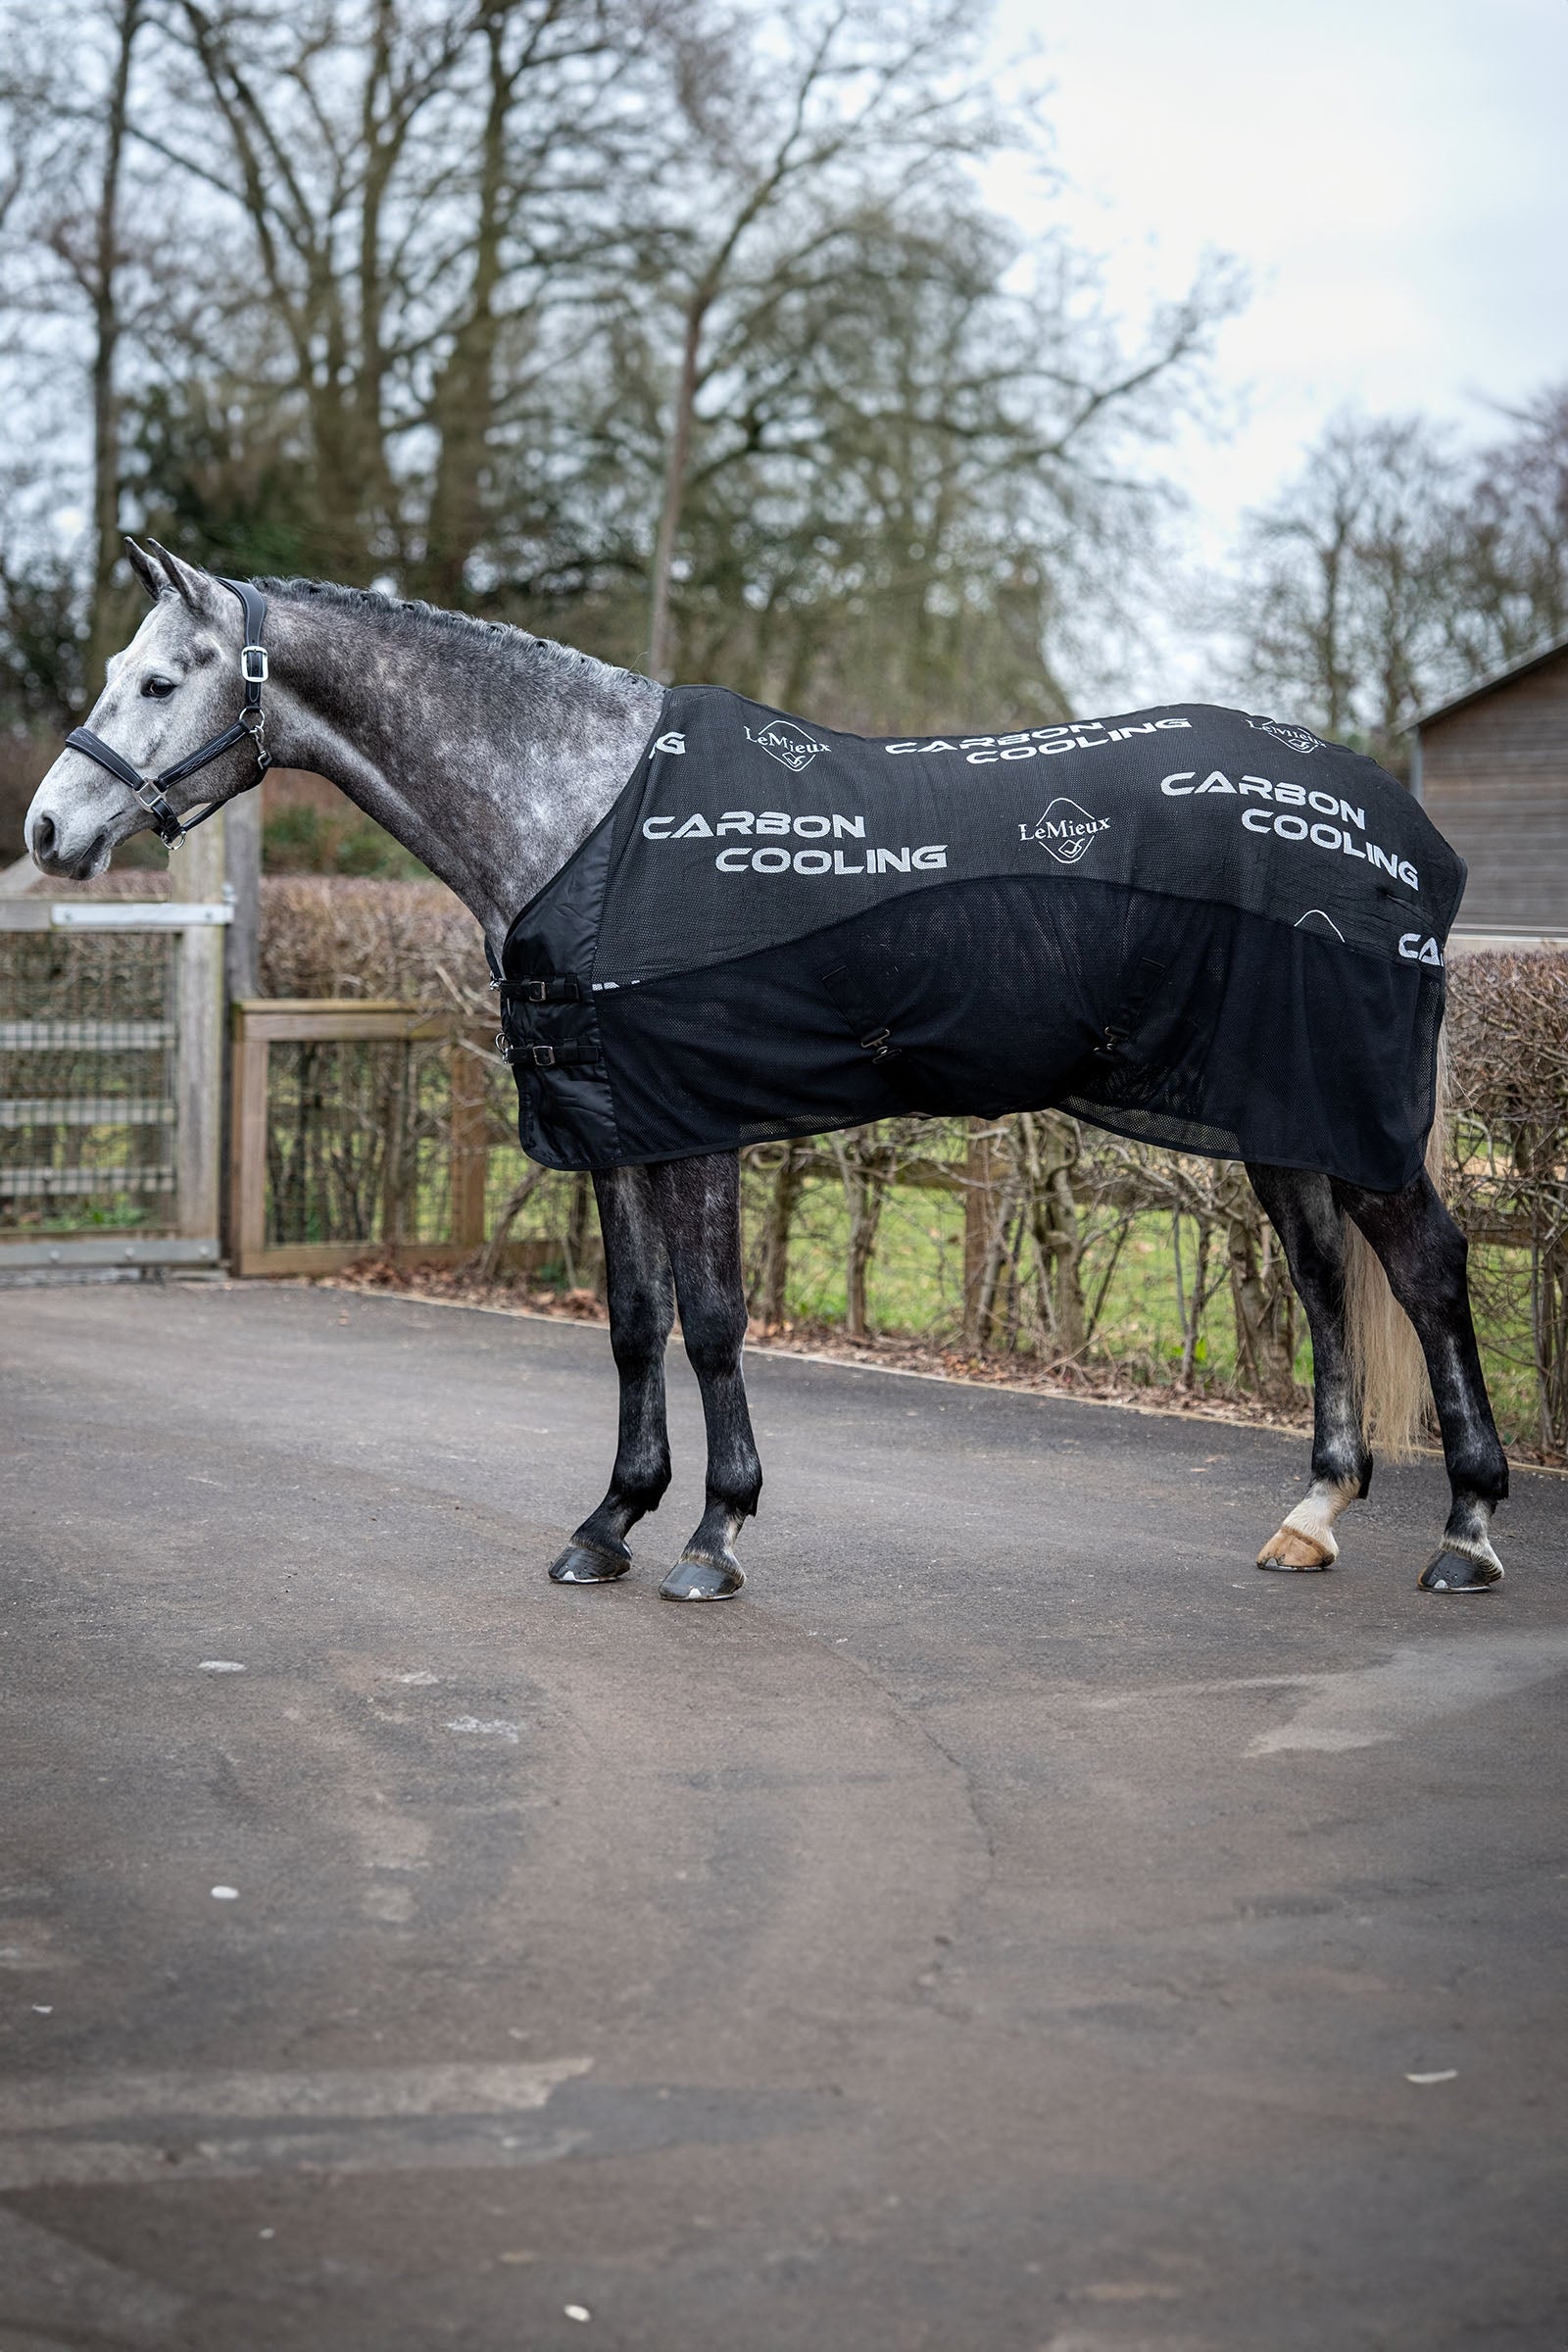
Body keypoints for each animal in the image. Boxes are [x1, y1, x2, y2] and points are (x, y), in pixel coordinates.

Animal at [24, 540, 1510, 1601]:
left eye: (158, 682)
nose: (48, 829)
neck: (590, 815)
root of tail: (1402, 838)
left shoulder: (700, 1122)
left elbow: (716, 1322)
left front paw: (713, 1534)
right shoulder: (608, 1125)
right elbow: (633, 1322)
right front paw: (609, 1523)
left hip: (1347, 1111)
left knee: (1428, 1272)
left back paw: (1468, 1534)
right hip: (1281, 1117)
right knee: (1324, 1278)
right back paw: (1312, 1516)